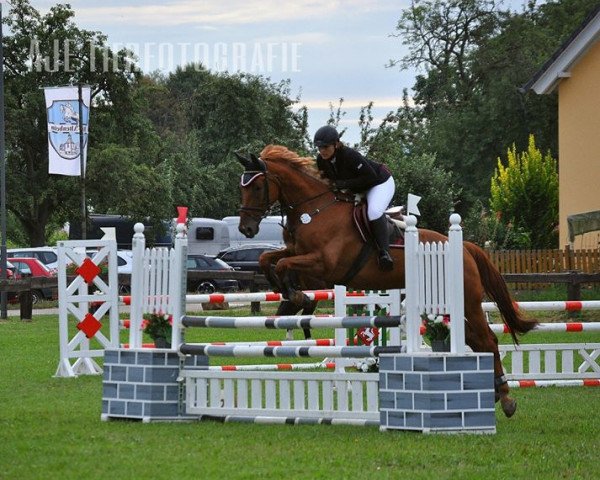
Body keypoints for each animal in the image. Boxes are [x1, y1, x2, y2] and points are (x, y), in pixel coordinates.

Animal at [236, 145, 540, 416]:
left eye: (257, 187)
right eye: (242, 188)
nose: (246, 229)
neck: (314, 209)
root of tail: (464, 248)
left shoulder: (324, 264)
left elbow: (283, 264)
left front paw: (295, 294)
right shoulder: (297, 252)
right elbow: (266, 258)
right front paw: (284, 290)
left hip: (467, 300)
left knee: (488, 339)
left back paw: (506, 399)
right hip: (446, 305)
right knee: (476, 339)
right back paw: (493, 393)